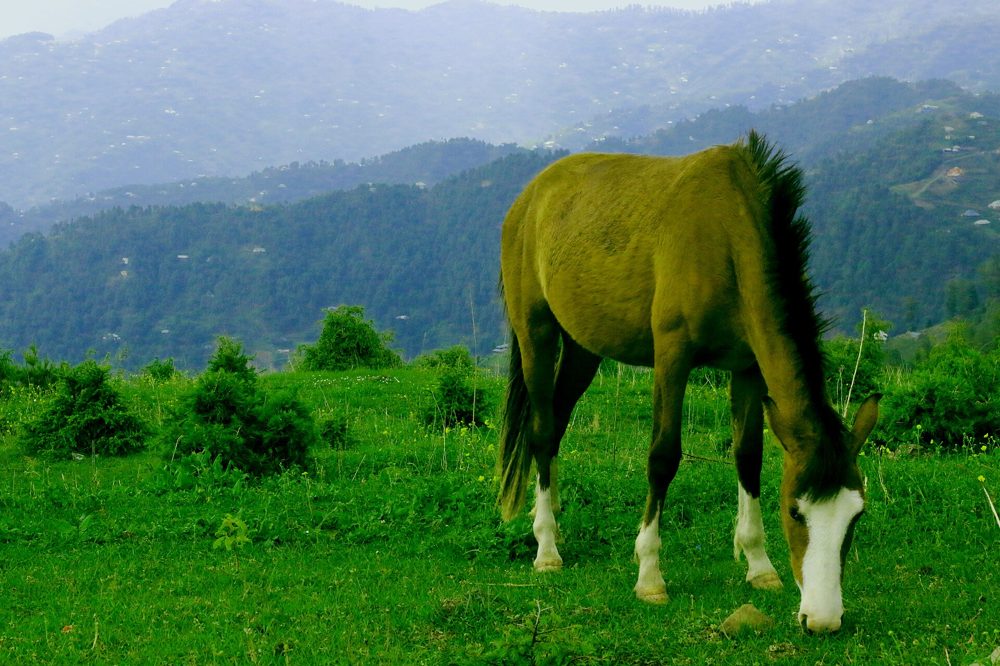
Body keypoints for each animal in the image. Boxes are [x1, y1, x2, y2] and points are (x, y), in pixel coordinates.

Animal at [497, 131, 880, 634]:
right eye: (795, 511)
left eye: (856, 516)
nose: (822, 619)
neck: (725, 236)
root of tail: (527, 199)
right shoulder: (672, 358)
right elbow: (663, 457)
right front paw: (649, 574)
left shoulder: (747, 368)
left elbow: (748, 457)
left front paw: (759, 564)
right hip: (536, 332)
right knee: (541, 431)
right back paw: (546, 546)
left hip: (583, 349)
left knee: (557, 423)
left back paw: (553, 512)